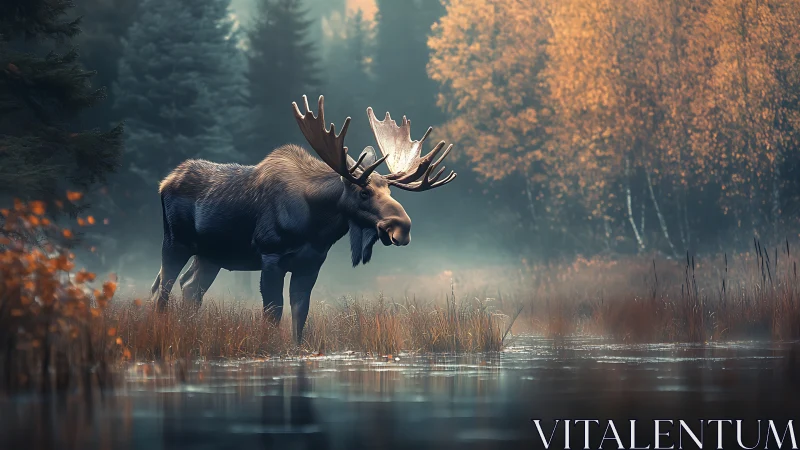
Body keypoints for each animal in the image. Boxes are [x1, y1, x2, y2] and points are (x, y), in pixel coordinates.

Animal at [150, 95, 457, 343]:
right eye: (364, 191)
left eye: (389, 190)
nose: (402, 227)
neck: (317, 228)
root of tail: (165, 182)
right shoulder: (270, 256)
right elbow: (273, 313)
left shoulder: (311, 264)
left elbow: (300, 316)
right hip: (175, 242)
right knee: (162, 289)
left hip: (211, 255)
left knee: (190, 287)